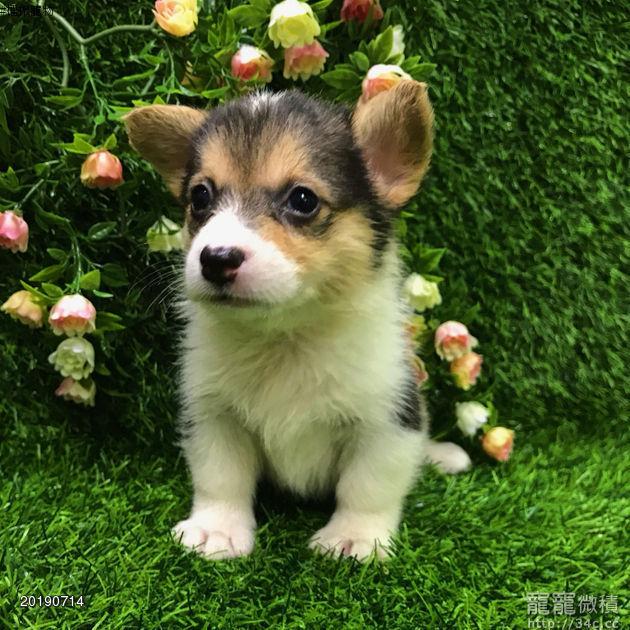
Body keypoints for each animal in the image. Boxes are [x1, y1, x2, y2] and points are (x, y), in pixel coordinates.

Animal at [124, 82, 471, 561]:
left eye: (303, 200)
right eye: (200, 197)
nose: (216, 259)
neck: (285, 337)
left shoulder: (386, 421)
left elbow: (367, 487)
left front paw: (355, 537)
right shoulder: (214, 415)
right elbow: (220, 478)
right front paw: (216, 529)